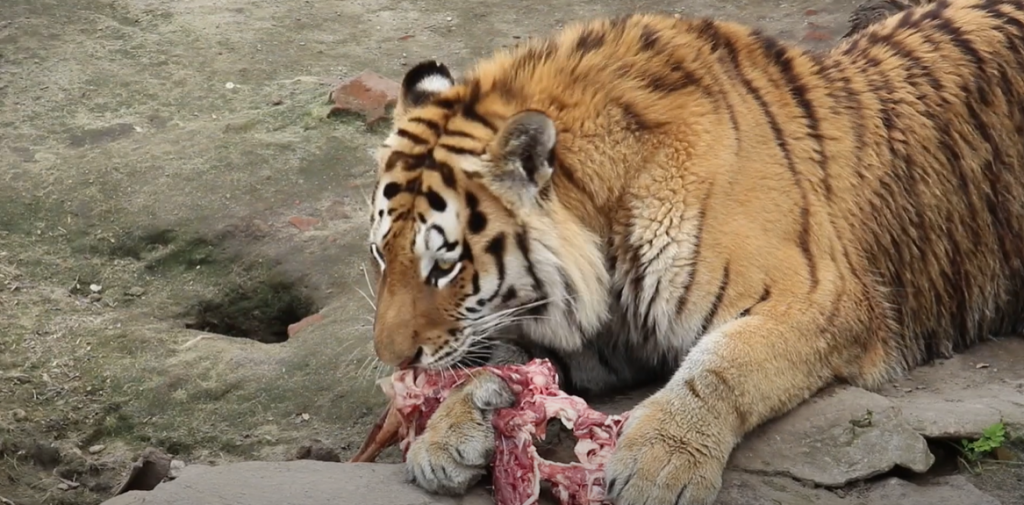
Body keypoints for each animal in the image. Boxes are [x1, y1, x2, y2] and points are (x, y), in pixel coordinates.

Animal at [364, 1, 1024, 501]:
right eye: (381, 256)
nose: (393, 361)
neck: (609, 216)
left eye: (445, 264)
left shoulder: (819, 299)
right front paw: (444, 436)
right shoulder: (604, 333)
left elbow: (721, 368)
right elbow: (502, 360)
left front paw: (660, 463)